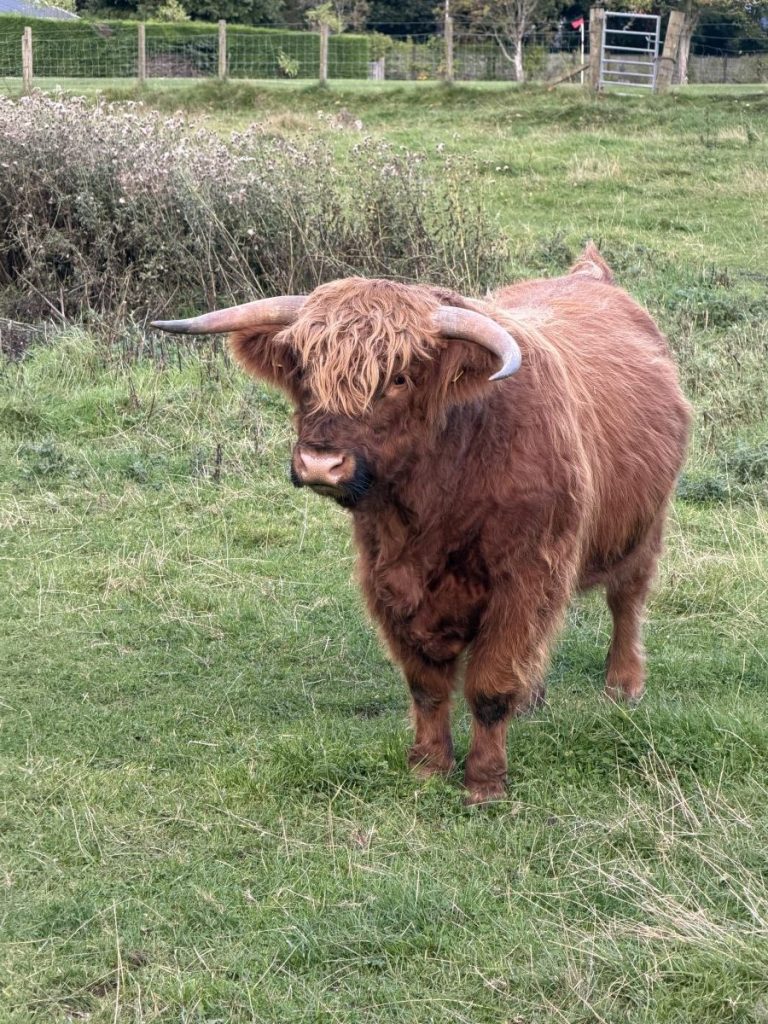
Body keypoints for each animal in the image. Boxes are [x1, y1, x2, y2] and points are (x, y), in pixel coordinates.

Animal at [153, 245, 691, 804]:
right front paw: (428, 767)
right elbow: (426, 686)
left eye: (398, 378)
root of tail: (589, 275)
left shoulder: (525, 577)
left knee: (626, 600)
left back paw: (624, 685)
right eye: (303, 372)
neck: (437, 500)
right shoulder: (386, 577)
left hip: (645, 527)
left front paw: (484, 783)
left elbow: (491, 684)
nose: (321, 463)